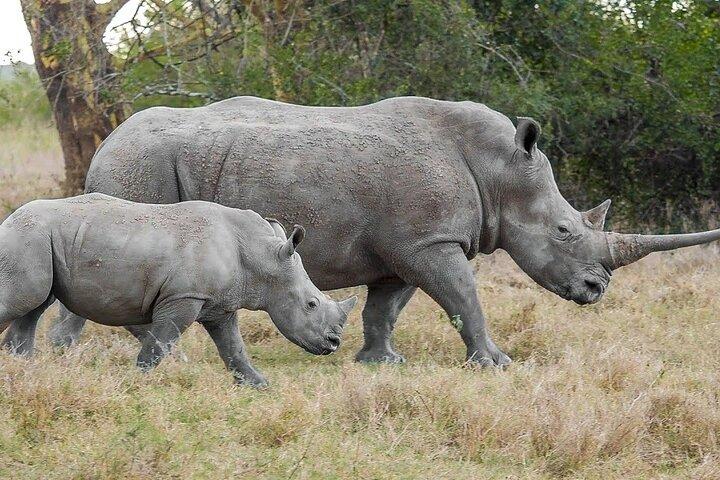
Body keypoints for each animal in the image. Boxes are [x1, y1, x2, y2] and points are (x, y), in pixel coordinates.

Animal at [0, 193, 357, 386]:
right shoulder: (183, 298)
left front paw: (260, 385)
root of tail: (9, 219)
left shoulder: (219, 306)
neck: (263, 257)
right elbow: (160, 343)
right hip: (28, 237)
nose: (333, 343)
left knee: (34, 307)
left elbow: (234, 349)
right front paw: (137, 381)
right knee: (23, 303)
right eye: (311, 304)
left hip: (40, 241)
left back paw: (23, 370)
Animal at [36, 96, 720, 367]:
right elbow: (465, 297)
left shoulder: (410, 244)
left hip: (145, 163)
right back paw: (70, 357)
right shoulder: (429, 242)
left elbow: (387, 307)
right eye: (562, 230)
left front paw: (379, 363)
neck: (500, 169)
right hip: (139, 169)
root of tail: (109, 140)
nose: (597, 290)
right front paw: (497, 364)